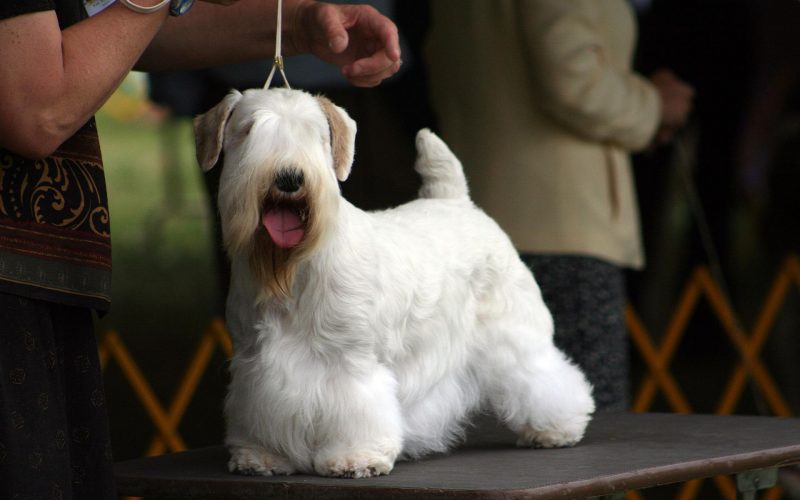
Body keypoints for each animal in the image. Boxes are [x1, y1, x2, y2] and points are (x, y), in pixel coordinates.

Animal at [194, 88, 592, 478]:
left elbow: (359, 410)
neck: (293, 271)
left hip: (514, 335)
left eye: (316, 135)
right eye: (249, 130)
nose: (289, 178)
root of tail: (456, 202)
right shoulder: (254, 364)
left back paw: (556, 428)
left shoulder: (351, 362)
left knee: (541, 374)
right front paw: (263, 455)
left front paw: (355, 457)